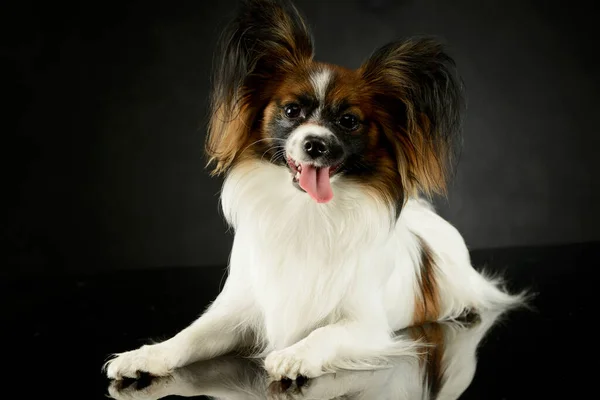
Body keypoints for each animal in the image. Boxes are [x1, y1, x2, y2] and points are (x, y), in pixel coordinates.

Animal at [105, 0, 528, 382]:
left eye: (349, 121)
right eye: (292, 111)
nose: (316, 145)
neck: (307, 210)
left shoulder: (367, 326)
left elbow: (325, 333)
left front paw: (295, 356)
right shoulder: (238, 311)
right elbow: (189, 336)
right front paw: (145, 356)